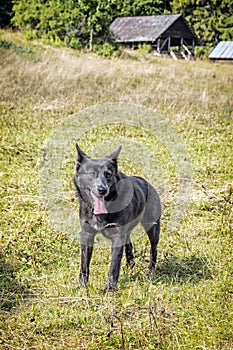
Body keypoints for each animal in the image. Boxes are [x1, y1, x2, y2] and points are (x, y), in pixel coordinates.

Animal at [73, 144, 161, 292]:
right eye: (92, 174)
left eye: (108, 175)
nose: (102, 190)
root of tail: (146, 182)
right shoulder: (86, 233)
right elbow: (84, 264)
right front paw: (82, 286)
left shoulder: (117, 236)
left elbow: (114, 266)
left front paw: (110, 289)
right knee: (129, 244)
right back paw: (130, 267)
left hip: (152, 227)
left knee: (153, 249)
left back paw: (151, 271)